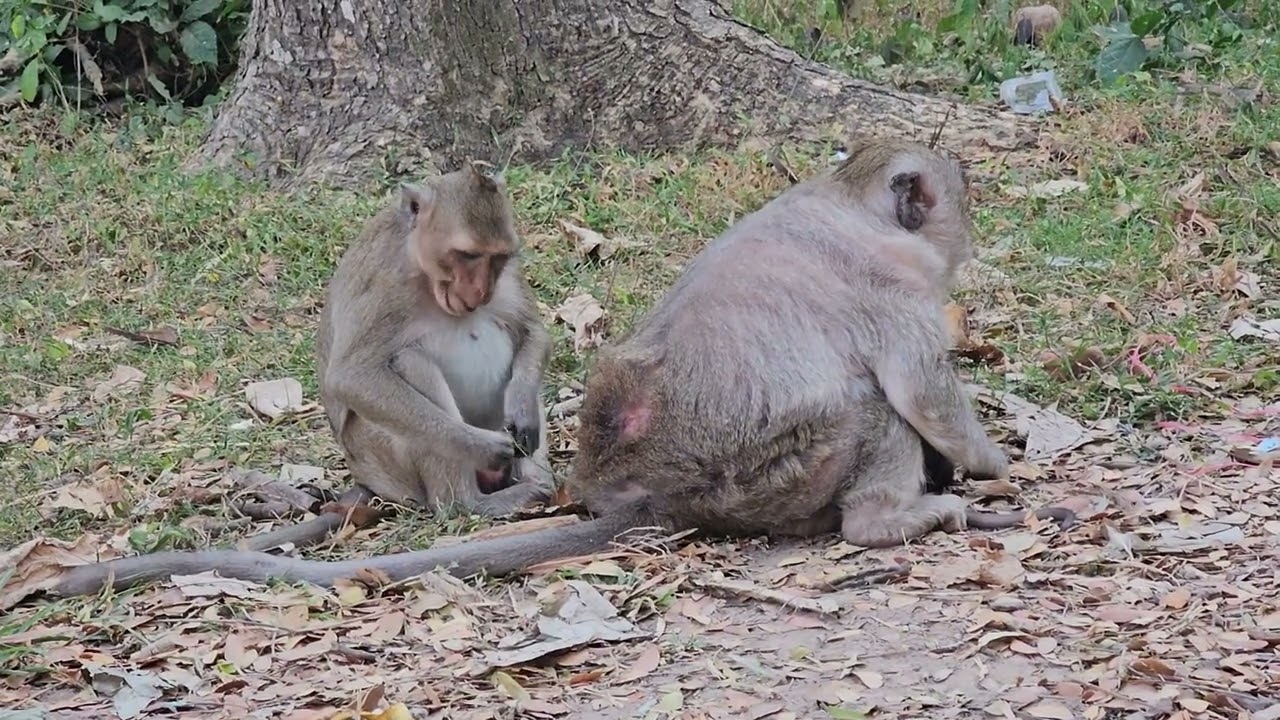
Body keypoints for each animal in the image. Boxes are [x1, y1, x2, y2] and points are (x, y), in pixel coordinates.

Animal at [33, 139, 1077, 601]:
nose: (967, 230)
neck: (846, 202)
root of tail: (645, 490)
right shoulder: (895, 288)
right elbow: (918, 389)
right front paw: (992, 465)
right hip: (769, 468)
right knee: (863, 409)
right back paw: (890, 519)